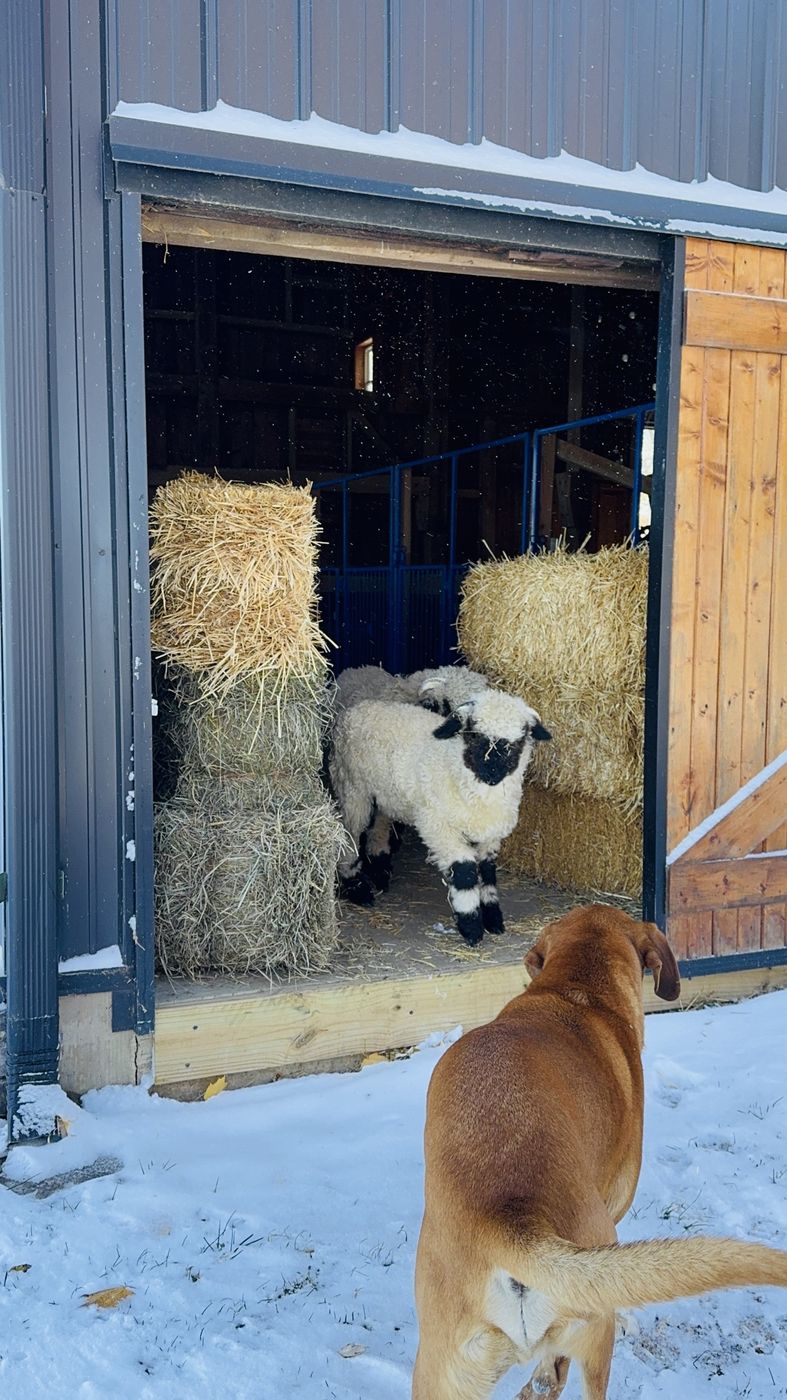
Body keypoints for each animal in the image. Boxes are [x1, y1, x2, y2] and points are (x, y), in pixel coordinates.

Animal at [329, 689, 550, 945]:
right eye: (474, 735)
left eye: (517, 742)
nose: (492, 772)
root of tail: (355, 709)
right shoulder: (438, 827)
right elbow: (464, 872)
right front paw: (471, 926)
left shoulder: (489, 835)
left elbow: (487, 872)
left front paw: (493, 918)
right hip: (352, 788)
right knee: (350, 834)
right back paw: (357, 887)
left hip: (384, 794)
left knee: (379, 827)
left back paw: (380, 870)